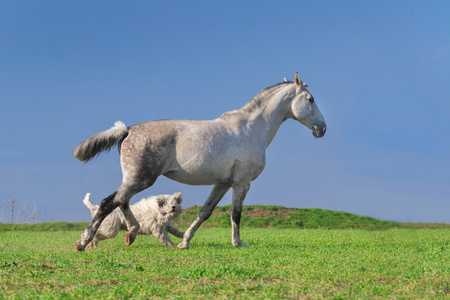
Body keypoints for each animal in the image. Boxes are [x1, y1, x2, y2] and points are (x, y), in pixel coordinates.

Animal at [74, 73, 326, 251]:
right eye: (311, 99)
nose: (322, 129)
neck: (251, 130)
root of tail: (126, 130)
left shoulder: (223, 183)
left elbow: (205, 212)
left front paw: (184, 242)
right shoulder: (242, 183)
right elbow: (236, 214)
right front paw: (238, 244)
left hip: (135, 180)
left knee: (121, 202)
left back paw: (131, 233)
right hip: (140, 179)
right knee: (108, 203)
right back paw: (84, 242)